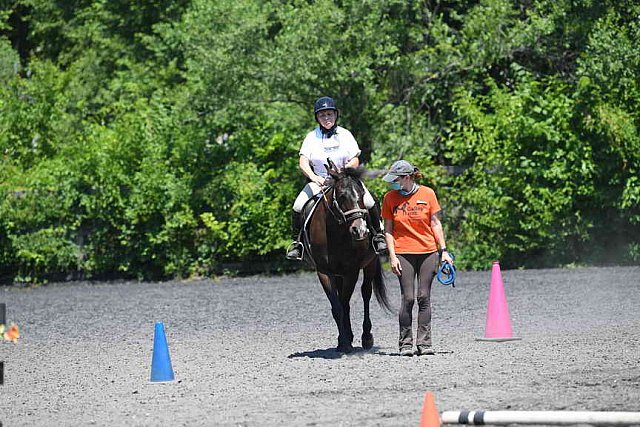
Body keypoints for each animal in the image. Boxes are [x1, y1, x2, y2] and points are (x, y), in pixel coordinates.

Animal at [302, 159, 392, 352]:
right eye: (342, 196)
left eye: (361, 195)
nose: (360, 230)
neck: (334, 231)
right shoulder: (324, 272)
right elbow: (337, 307)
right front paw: (343, 341)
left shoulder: (351, 271)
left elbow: (344, 304)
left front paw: (347, 342)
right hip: (338, 274)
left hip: (370, 263)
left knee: (366, 293)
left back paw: (366, 338)